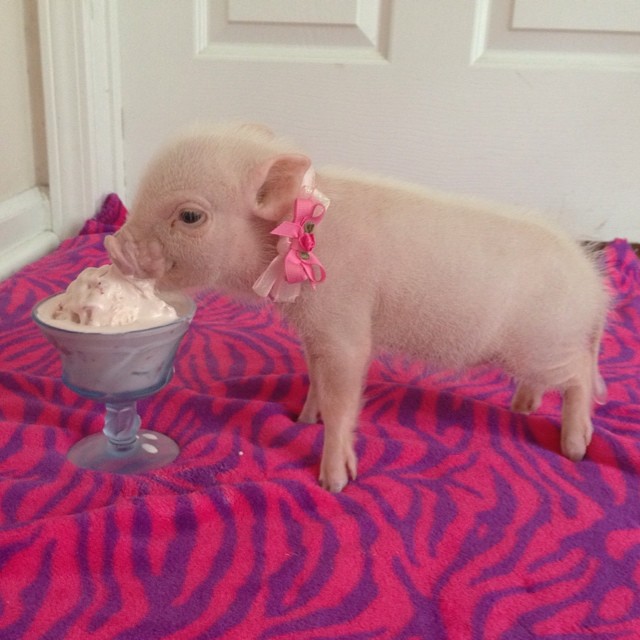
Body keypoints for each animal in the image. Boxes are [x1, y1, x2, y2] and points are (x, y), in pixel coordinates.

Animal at [105, 122, 609, 492]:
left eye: (190, 216)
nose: (112, 245)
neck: (292, 235)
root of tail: (594, 286)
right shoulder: (314, 331)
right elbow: (316, 378)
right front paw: (303, 418)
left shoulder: (343, 325)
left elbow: (343, 393)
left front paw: (333, 482)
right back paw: (523, 409)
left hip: (543, 344)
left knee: (581, 373)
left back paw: (575, 448)